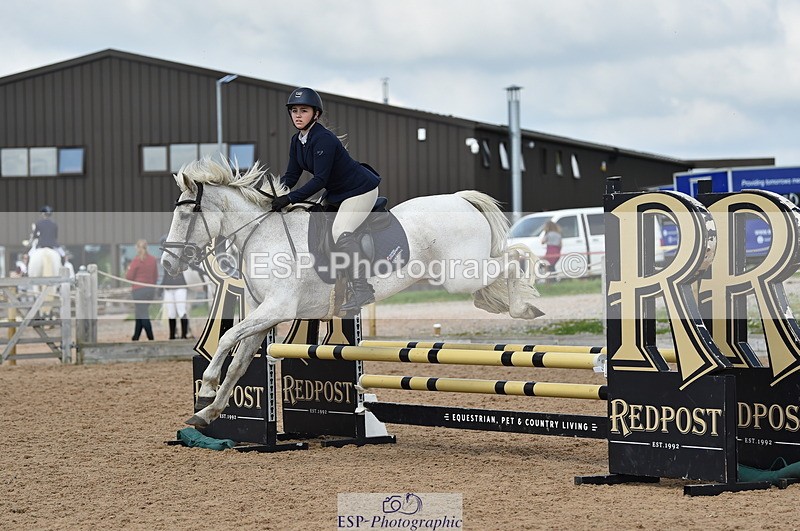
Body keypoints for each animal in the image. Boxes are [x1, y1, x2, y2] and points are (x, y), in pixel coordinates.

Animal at [161, 158, 543, 428]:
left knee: (514, 258)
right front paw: (208, 413)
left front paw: (206, 387)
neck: (262, 234)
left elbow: (227, 340)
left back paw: (525, 306)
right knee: (506, 263)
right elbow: (240, 360)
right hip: (462, 272)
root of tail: (460, 200)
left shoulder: (278, 308)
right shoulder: (262, 312)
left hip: (461, 274)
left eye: (188, 215)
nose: (167, 264)